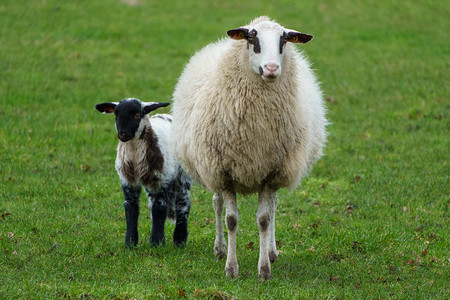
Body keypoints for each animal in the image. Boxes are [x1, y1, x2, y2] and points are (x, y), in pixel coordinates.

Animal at [96, 98, 191, 246]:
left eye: (137, 115)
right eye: (116, 115)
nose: (122, 134)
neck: (135, 160)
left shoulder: (160, 180)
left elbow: (159, 208)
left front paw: (157, 243)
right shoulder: (127, 181)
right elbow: (131, 208)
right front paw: (130, 243)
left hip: (182, 175)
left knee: (183, 203)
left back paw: (180, 240)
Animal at [171, 16, 326, 278]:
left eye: (284, 40)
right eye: (252, 38)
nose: (272, 68)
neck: (256, 129)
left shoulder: (270, 173)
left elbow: (264, 219)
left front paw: (264, 269)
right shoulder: (223, 172)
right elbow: (231, 220)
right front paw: (231, 268)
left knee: (272, 209)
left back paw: (271, 252)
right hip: (211, 167)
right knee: (217, 204)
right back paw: (220, 248)